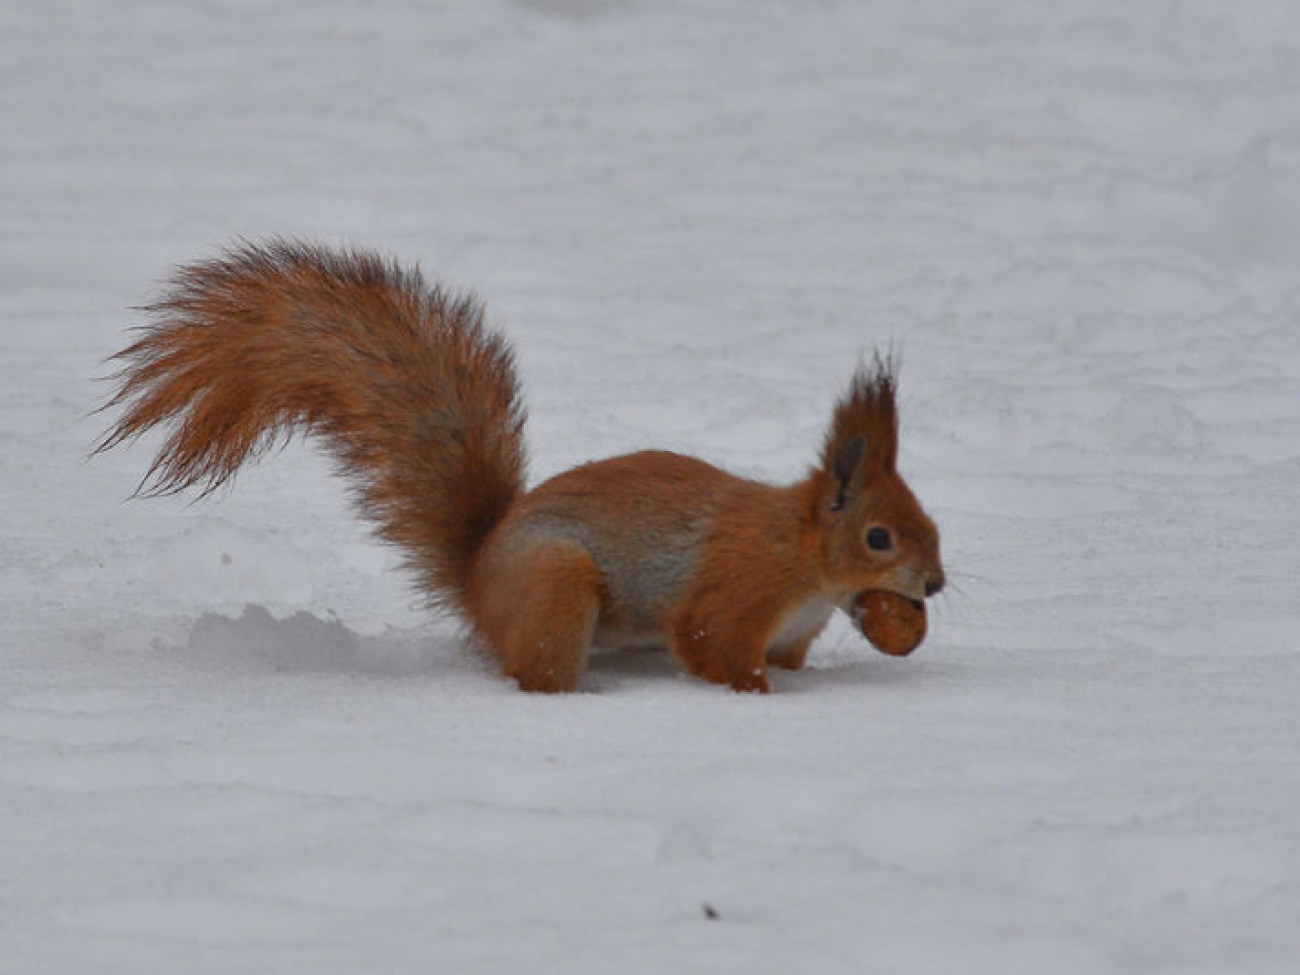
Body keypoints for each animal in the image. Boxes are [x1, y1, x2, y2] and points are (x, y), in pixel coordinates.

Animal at [96, 239, 941, 691]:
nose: (932, 585)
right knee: (536, 674)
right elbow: (710, 645)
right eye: (880, 537)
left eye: (932, 524)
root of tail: (477, 583)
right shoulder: (735, 593)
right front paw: (758, 698)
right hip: (557, 584)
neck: (802, 555)